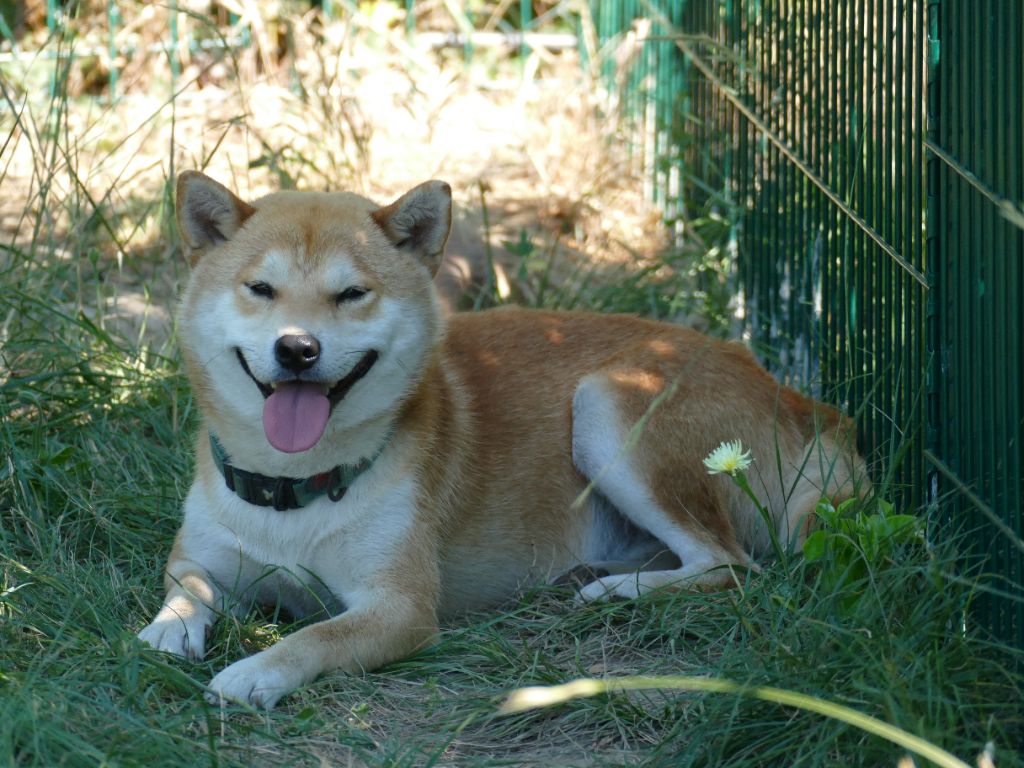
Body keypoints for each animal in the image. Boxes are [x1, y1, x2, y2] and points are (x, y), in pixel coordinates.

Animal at [138, 173, 864, 708]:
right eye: (260, 289)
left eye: (352, 294)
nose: (297, 348)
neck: (294, 487)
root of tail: (802, 401)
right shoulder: (199, 557)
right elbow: (185, 591)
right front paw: (165, 633)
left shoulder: (399, 606)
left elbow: (314, 636)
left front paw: (253, 672)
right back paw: (604, 571)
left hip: (606, 408)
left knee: (729, 565)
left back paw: (617, 592)